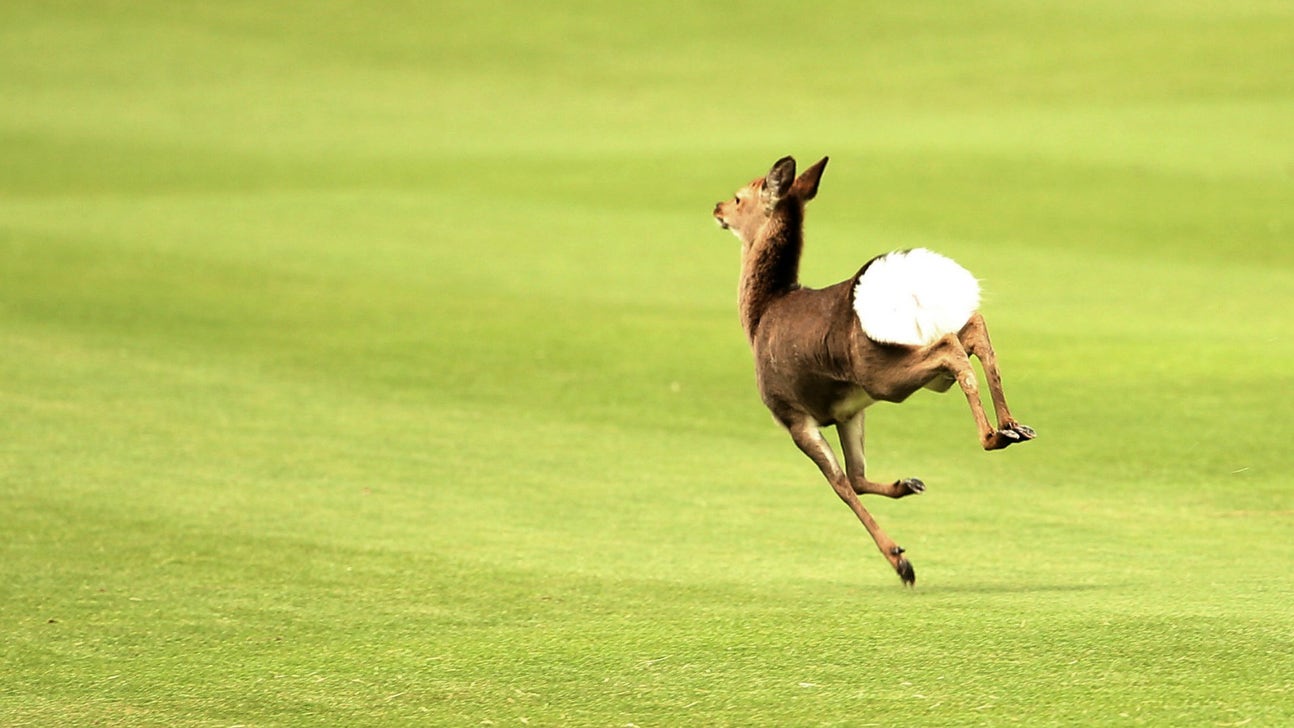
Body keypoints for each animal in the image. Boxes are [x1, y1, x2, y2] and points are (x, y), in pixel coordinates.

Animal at [712, 155, 1034, 585]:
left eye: (739, 197)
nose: (717, 208)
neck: (759, 314)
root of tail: (902, 289)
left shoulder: (791, 415)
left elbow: (842, 486)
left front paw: (900, 561)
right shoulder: (849, 411)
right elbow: (857, 476)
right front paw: (908, 485)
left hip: (881, 373)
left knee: (952, 349)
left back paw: (992, 436)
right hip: (913, 352)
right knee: (974, 329)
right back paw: (1013, 427)